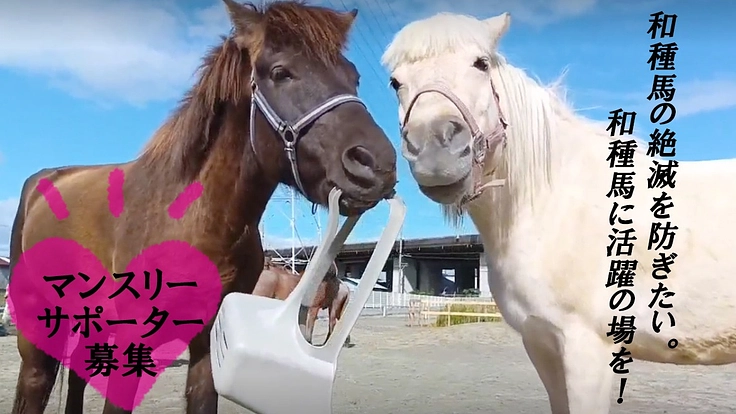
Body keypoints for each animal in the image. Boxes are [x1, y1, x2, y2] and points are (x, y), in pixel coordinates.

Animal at [8, 1, 397, 413]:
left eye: (354, 77)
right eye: (280, 72)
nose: (378, 165)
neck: (199, 221)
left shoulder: (210, 341)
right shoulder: (132, 340)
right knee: (35, 382)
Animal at [382, 11, 736, 414]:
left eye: (481, 64)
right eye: (395, 82)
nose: (434, 152)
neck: (553, 205)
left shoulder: (589, 350)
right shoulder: (542, 344)